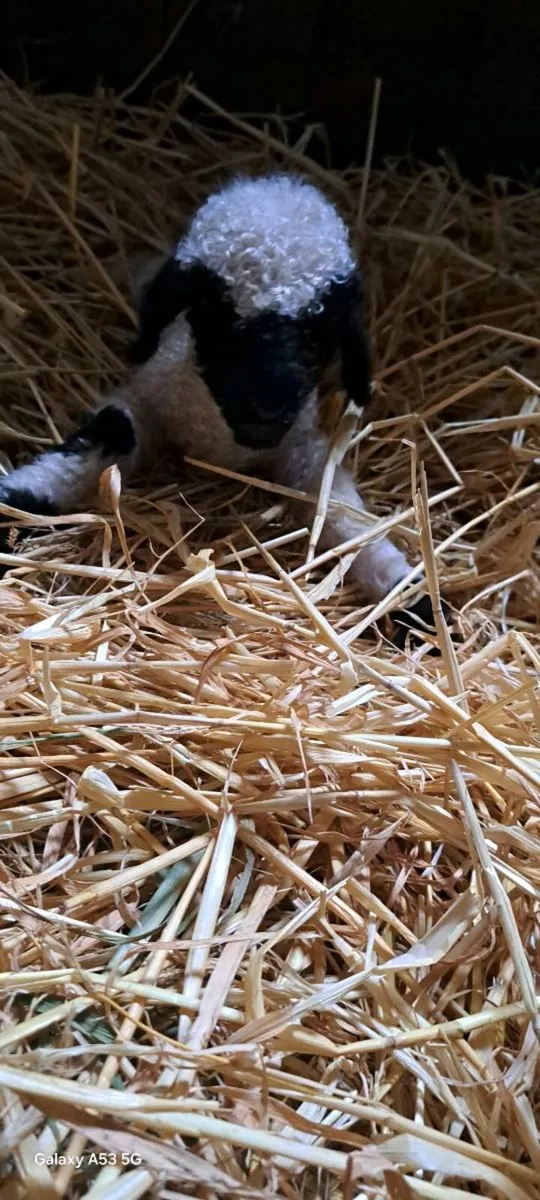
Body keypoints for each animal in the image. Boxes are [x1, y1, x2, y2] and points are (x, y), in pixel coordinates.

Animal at [0, 174, 439, 643]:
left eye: (320, 325)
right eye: (215, 310)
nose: (266, 407)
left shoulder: (302, 448)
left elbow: (340, 511)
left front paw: (411, 595)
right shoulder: (147, 398)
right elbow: (99, 440)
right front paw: (17, 500)